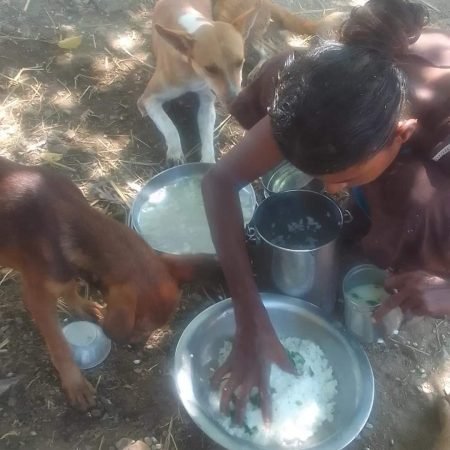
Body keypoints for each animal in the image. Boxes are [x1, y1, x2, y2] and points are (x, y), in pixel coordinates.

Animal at [0, 158, 211, 412]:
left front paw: (84, 306)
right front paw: (75, 384)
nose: (138, 348)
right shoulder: (37, 298)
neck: (71, 219)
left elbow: (70, 288)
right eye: (142, 327)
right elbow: (60, 346)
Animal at [137, 0, 256, 164]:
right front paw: (175, 152)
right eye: (210, 69)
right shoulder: (149, 98)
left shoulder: (207, 101)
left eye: (240, 62)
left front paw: (208, 160)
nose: (236, 103)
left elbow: (207, 135)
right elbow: (169, 126)